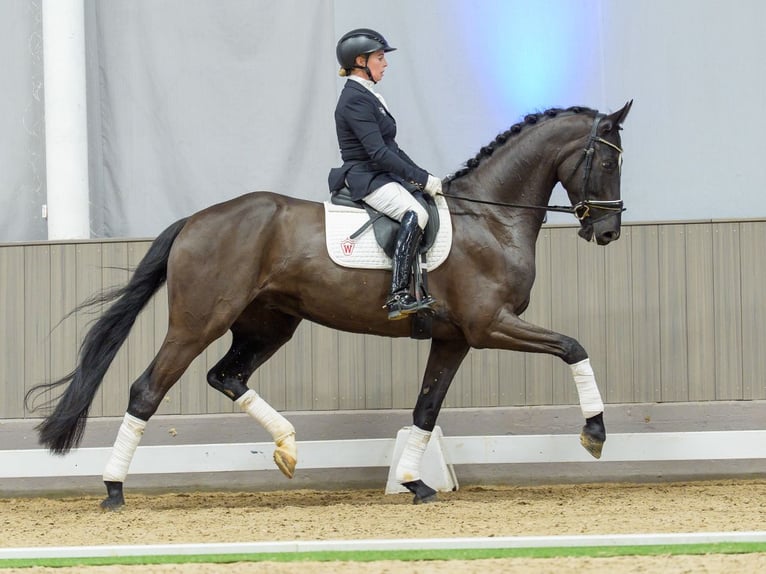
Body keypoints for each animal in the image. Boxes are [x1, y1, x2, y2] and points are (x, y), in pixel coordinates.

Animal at [25, 101, 633, 509]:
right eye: (607, 163)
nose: (607, 233)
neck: (490, 218)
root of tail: (195, 220)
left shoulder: (454, 337)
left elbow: (425, 410)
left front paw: (415, 483)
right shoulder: (489, 326)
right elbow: (573, 347)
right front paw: (595, 433)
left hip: (269, 324)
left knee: (227, 376)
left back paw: (288, 448)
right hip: (198, 322)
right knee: (147, 390)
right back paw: (113, 489)